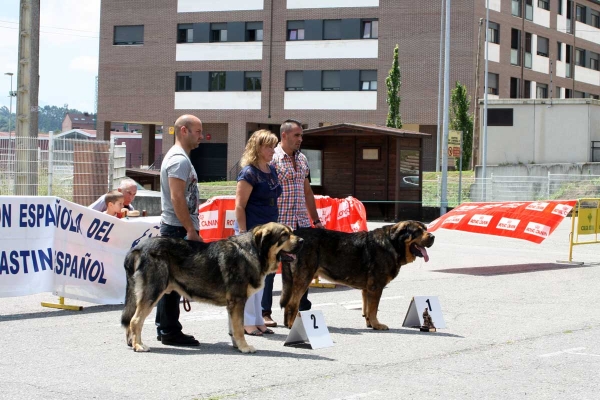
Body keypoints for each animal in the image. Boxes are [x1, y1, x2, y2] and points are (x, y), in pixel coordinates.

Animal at [120, 222, 304, 354]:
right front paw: (244, 347)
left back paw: (131, 343)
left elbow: (233, 328)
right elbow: (239, 328)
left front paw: (237, 346)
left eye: (291, 232)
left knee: (131, 320)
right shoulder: (238, 301)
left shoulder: (232, 304)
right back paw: (139, 345)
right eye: (284, 235)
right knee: (135, 320)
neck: (254, 252)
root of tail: (138, 248)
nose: (302, 240)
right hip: (153, 291)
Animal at [278, 220, 434, 330]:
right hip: (304, 279)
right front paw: (377, 325)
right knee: (292, 304)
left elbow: (367, 309)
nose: (433, 236)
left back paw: (287, 324)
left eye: (425, 229)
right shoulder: (376, 287)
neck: (393, 244)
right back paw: (293, 325)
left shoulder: (367, 289)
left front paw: (370, 324)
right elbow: (373, 309)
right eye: (417, 231)